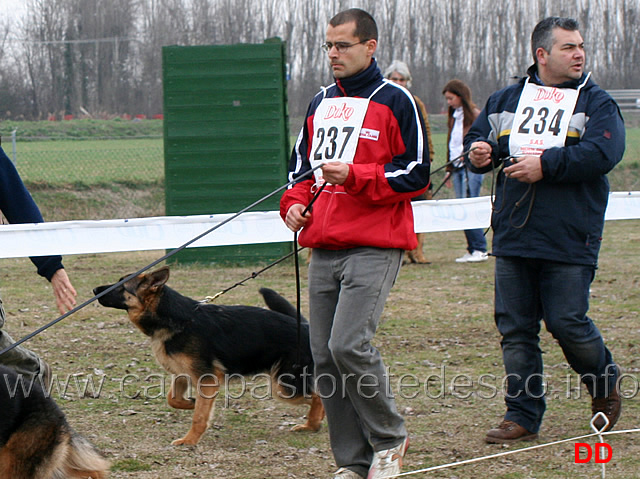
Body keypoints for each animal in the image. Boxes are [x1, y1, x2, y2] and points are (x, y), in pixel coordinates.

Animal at [92, 268, 322, 448]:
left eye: (121, 286)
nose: (94, 290)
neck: (175, 318)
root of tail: (305, 326)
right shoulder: (182, 375)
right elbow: (173, 399)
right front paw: (191, 402)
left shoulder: (207, 379)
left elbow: (199, 417)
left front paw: (189, 440)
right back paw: (315, 423)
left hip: (283, 387)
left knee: (317, 397)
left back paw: (312, 423)